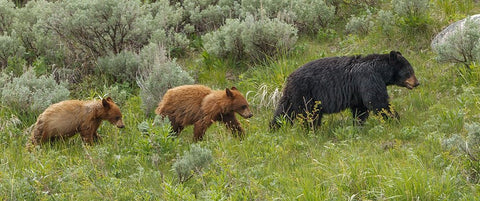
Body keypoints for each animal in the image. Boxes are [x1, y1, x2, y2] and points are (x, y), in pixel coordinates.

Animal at [270, 50, 420, 129]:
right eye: (409, 71)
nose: (417, 83)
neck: (381, 71)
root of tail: (289, 78)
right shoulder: (368, 78)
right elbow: (377, 101)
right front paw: (395, 119)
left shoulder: (358, 91)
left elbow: (360, 108)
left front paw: (358, 125)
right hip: (306, 94)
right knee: (309, 114)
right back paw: (312, 129)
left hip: (291, 95)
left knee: (283, 111)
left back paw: (276, 127)